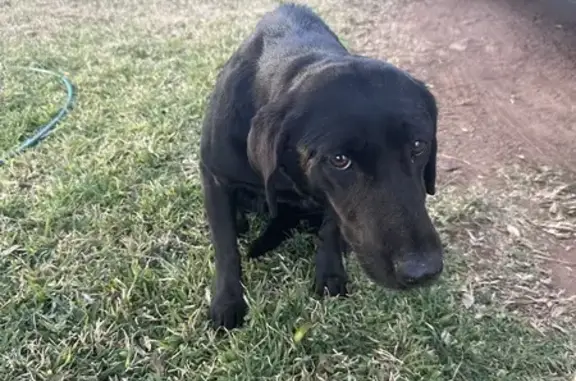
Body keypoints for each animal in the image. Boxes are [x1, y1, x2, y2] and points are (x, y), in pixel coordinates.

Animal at [200, 2, 444, 328]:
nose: (423, 270)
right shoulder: (214, 175)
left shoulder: (331, 199)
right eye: (339, 160)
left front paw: (330, 272)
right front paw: (227, 301)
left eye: (418, 145)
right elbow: (226, 247)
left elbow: (330, 228)